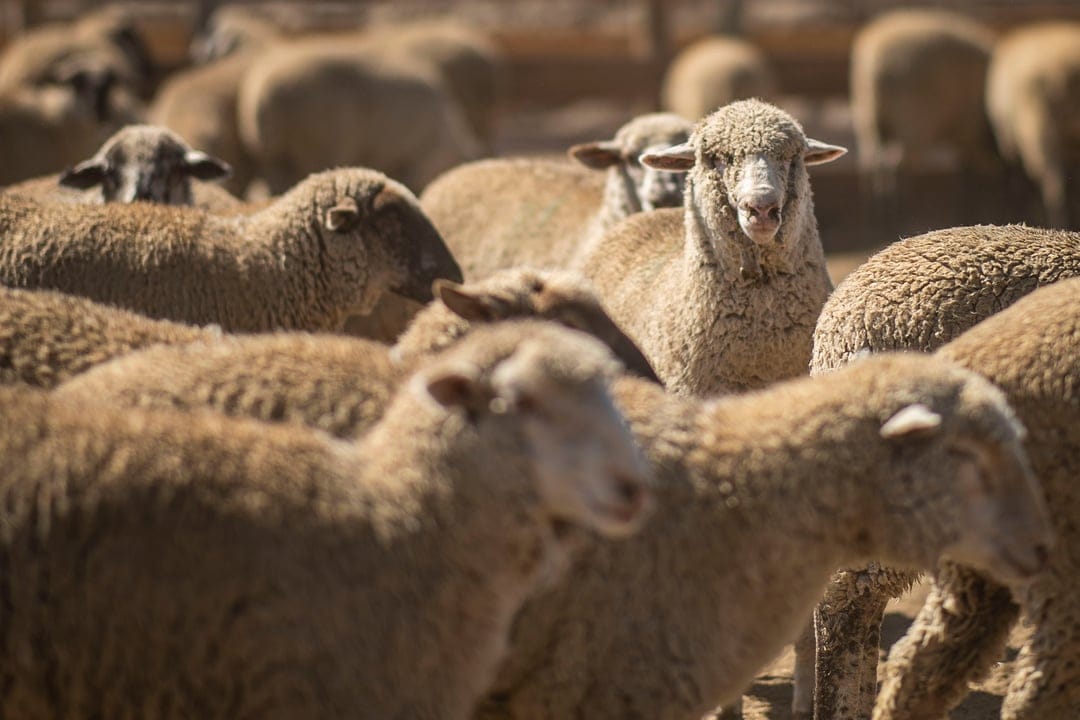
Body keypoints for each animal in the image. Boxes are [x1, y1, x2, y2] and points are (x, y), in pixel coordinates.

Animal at [850, 9, 998, 198]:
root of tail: (875, 62)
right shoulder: (968, 131)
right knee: (899, 165)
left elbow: (966, 169)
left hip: (868, 120)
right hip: (912, 122)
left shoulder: (966, 137)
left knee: (871, 166)